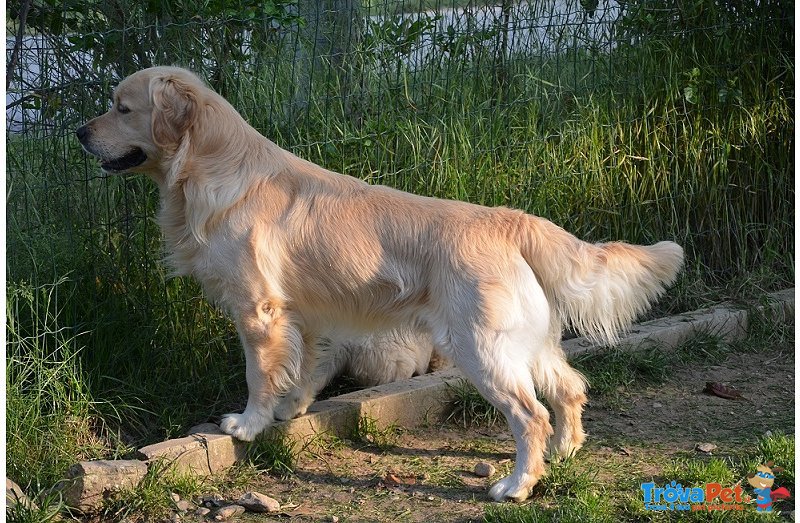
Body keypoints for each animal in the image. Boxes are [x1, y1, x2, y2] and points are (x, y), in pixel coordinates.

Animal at [78, 66, 684, 504]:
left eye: (122, 107)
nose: (79, 132)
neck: (210, 169)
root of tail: (508, 219)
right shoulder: (308, 315)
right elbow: (304, 368)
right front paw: (290, 410)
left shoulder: (258, 309)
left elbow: (258, 374)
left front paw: (247, 424)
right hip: (527, 344)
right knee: (571, 387)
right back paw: (565, 451)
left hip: (481, 348)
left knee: (530, 415)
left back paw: (516, 485)